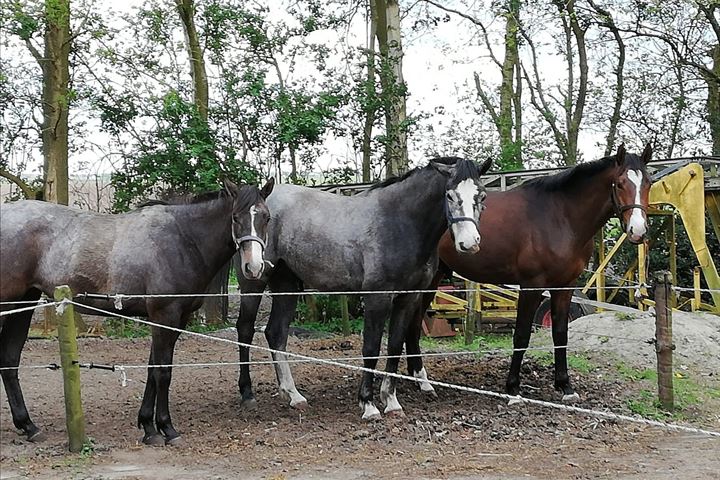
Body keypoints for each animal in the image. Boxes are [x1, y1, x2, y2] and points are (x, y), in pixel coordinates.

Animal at [0, 178, 274, 444]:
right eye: (235, 217)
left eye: (266, 217)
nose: (253, 267)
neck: (183, 239)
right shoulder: (165, 315)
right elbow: (163, 372)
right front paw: (167, 428)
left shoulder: (175, 319)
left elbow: (153, 370)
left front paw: (149, 428)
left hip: (24, 302)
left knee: (9, 359)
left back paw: (29, 426)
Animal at [233, 158, 492, 420]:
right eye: (449, 195)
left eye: (482, 195)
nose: (469, 243)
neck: (400, 223)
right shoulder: (377, 298)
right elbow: (371, 347)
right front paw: (368, 404)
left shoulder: (408, 299)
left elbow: (395, 345)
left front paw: (391, 401)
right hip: (254, 280)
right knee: (245, 330)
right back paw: (247, 394)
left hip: (287, 285)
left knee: (276, 333)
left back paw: (293, 395)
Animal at [410, 144, 652, 404]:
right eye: (620, 183)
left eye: (648, 183)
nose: (638, 230)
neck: (560, 217)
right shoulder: (531, 286)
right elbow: (522, 335)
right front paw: (513, 389)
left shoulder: (565, 286)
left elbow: (560, 333)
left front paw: (565, 386)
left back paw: (419, 379)